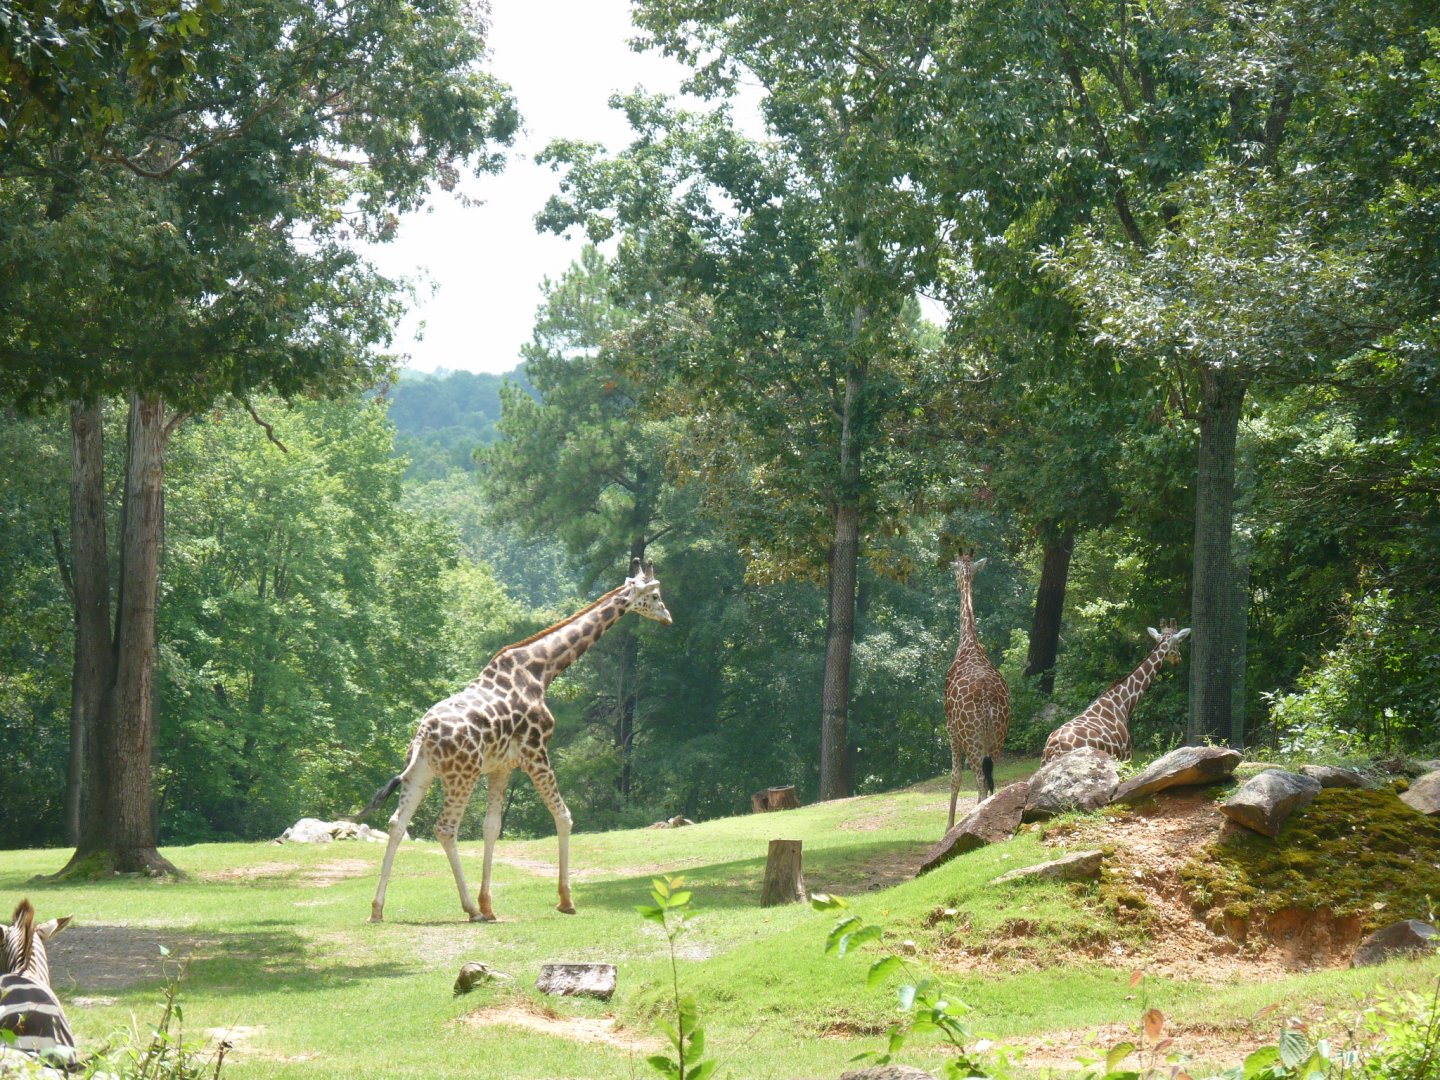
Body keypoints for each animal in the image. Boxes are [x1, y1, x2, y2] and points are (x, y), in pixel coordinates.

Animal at [361, 557, 672, 923]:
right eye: (655, 594)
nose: (668, 617)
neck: (543, 670)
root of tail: (423, 733)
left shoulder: (502, 766)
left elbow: (492, 827)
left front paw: (489, 904)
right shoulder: (536, 752)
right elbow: (563, 816)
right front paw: (565, 900)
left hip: (422, 772)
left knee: (397, 823)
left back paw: (378, 908)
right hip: (462, 774)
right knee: (445, 829)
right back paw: (469, 910)